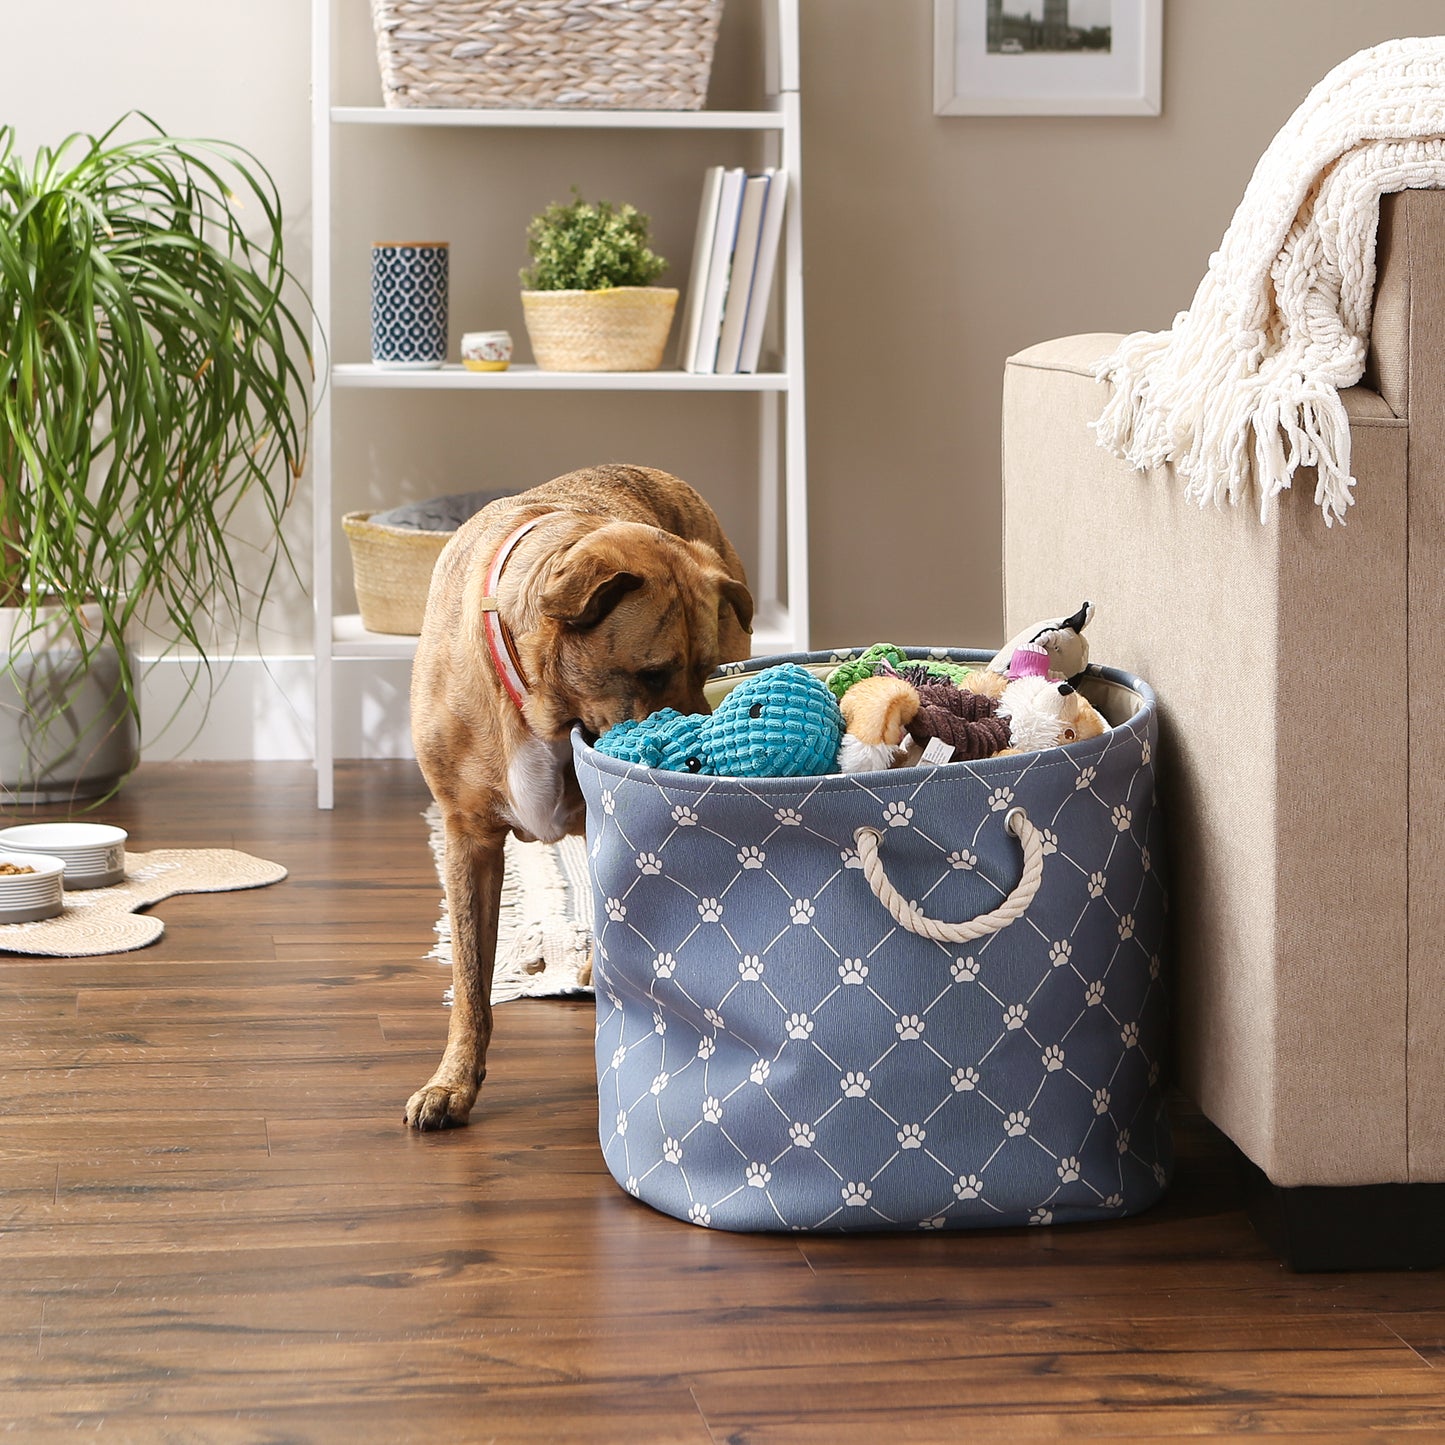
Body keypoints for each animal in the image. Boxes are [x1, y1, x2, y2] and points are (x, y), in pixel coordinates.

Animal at [401, 462, 751, 1127]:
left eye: (710, 671)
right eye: (650, 674)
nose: (702, 759)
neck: (539, 700)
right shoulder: (468, 839)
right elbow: (471, 981)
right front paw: (452, 1081)